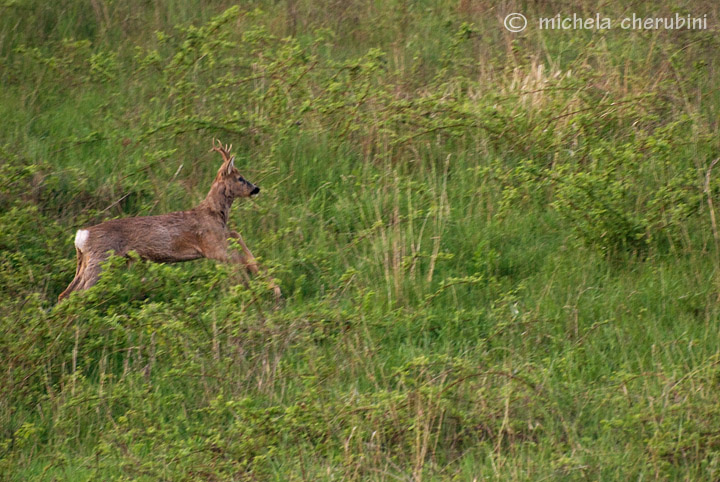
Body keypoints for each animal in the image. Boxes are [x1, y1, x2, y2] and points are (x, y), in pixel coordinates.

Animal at [57, 140, 282, 302]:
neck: (214, 214)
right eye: (240, 178)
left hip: (86, 261)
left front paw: (270, 286)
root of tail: (81, 235)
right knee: (79, 292)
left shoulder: (221, 237)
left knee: (65, 293)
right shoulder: (212, 245)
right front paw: (270, 288)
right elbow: (241, 257)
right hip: (102, 259)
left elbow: (239, 238)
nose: (256, 189)